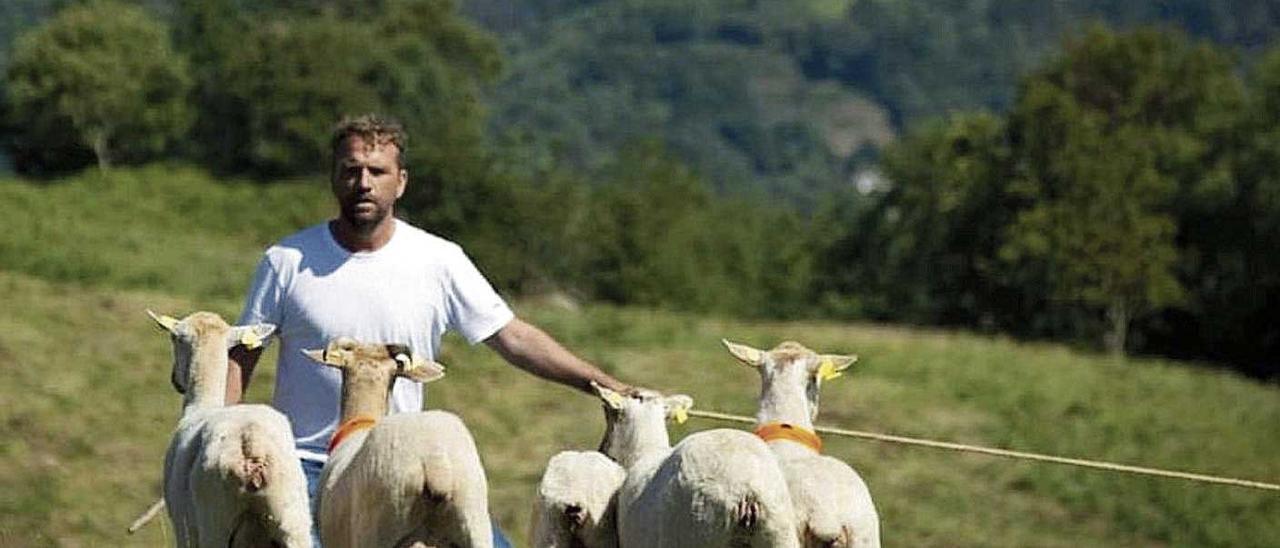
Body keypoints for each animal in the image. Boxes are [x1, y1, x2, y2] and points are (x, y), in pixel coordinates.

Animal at [145, 309, 312, 548]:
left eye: (173, 338)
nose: (175, 380)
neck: (203, 403)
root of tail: (250, 440)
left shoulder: (182, 527)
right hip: (292, 519)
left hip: (214, 521)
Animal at [591, 384, 798, 548]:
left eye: (607, 411)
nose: (601, 449)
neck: (644, 448)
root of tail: (747, 489)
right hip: (780, 532)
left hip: (699, 527)